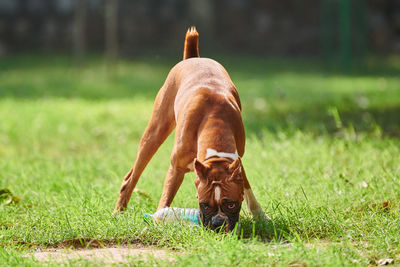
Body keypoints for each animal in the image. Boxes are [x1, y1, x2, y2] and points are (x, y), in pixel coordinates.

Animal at [113, 26, 268, 232]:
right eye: (204, 205)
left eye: (231, 204)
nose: (218, 223)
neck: (215, 120)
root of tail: (193, 58)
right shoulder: (175, 169)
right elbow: (165, 200)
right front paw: (157, 221)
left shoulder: (237, 161)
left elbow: (247, 187)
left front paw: (260, 215)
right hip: (154, 134)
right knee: (131, 178)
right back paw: (118, 212)